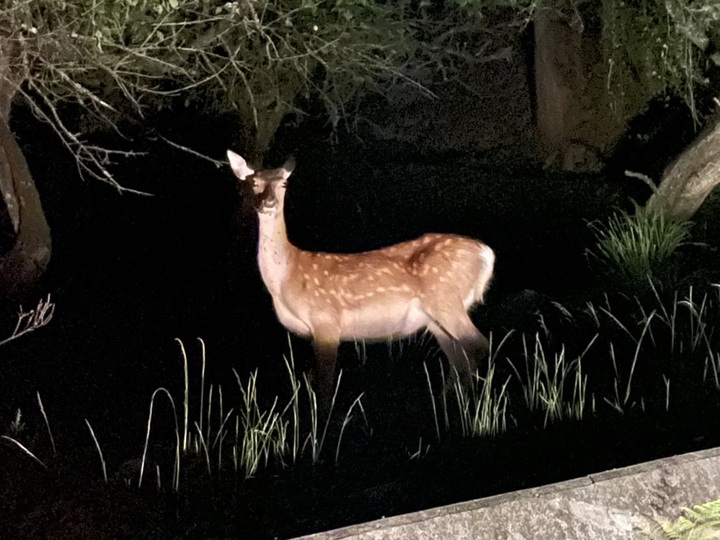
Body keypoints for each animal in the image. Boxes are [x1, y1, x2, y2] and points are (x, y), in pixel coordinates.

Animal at [227, 150, 495, 403]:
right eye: (254, 182)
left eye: (283, 184)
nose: (269, 202)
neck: (287, 277)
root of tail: (486, 254)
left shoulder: (326, 321)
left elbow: (324, 388)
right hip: (434, 317)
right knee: (458, 358)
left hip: (445, 298)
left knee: (478, 344)